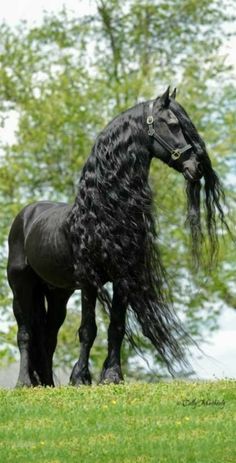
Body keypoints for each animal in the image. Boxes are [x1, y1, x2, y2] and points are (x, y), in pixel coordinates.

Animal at [7, 88, 226, 388]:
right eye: (172, 124)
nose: (197, 167)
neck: (104, 210)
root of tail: (26, 215)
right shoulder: (89, 281)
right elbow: (88, 329)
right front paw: (80, 378)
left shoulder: (123, 279)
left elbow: (117, 327)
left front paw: (112, 376)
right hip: (21, 286)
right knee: (26, 333)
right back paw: (25, 383)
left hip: (57, 292)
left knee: (48, 336)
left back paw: (48, 384)